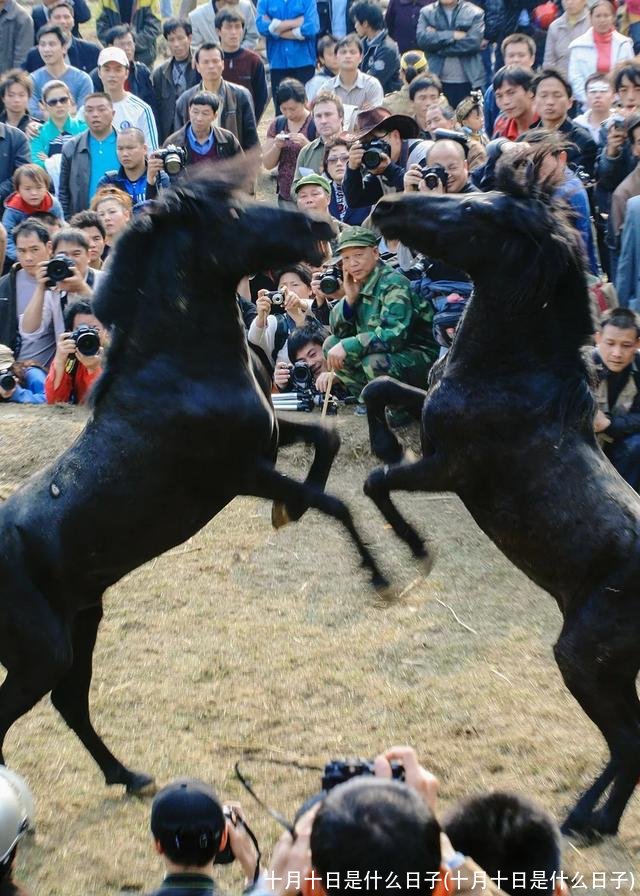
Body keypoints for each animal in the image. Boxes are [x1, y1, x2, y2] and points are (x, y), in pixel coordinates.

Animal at [0, 170, 384, 792]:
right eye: (233, 215)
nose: (320, 225)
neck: (179, 369)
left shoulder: (268, 442)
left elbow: (325, 441)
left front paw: (291, 515)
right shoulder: (240, 474)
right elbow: (333, 503)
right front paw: (383, 575)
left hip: (83, 620)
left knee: (71, 703)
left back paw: (129, 776)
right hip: (42, 651)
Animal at [362, 173, 640, 840]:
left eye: (469, 209)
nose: (385, 203)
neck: (514, 376)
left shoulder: (450, 469)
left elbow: (377, 482)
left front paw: (409, 555)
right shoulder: (430, 417)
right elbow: (377, 388)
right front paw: (382, 437)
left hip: (585, 659)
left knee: (628, 741)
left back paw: (583, 820)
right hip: (615, 667)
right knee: (635, 742)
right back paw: (597, 821)